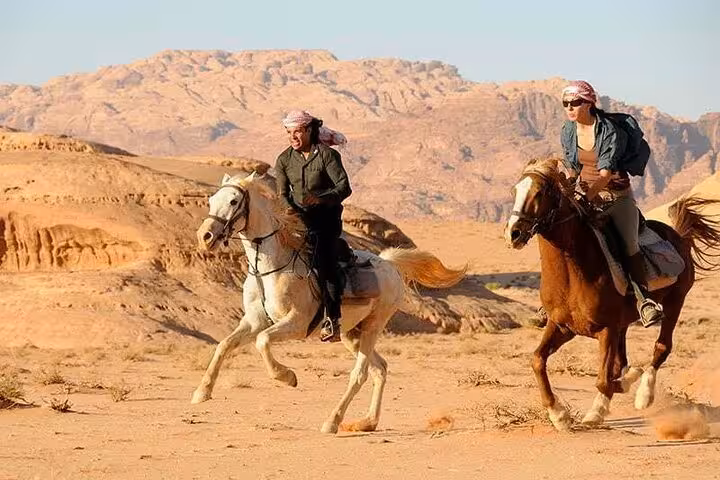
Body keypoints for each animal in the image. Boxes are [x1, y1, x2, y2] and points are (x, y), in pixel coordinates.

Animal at [191, 172, 466, 434]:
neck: (271, 268)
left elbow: (263, 341)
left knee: (360, 374)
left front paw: (287, 376)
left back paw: (332, 422)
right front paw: (202, 392)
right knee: (380, 368)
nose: (205, 236)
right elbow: (224, 345)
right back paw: (367, 423)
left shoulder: (296, 323)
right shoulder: (254, 321)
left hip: (373, 326)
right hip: (350, 333)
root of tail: (389, 264)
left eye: (233, 201)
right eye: (211, 201)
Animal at [504, 158, 720, 430]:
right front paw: (559, 415)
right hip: (625, 323)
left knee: (661, 347)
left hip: (674, 303)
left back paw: (643, 395)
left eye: (540, 192)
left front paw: (601, 407)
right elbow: (537, 360)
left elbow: (604, 380)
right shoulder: (562, 326)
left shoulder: (606, 329)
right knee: (621, 361)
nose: (513, 234)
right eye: (515, 191)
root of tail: (679, 236)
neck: (573, 272)